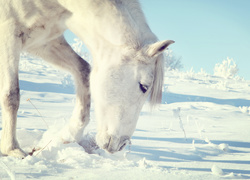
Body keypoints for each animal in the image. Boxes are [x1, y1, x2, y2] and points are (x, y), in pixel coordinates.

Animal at [0, 0, 174, 158]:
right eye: (144, 86)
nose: (121, 144)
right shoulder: (9, 34)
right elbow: (11, 95)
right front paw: (12, 149)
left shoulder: (43, 41)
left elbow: (83, 71)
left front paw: (69, 135)